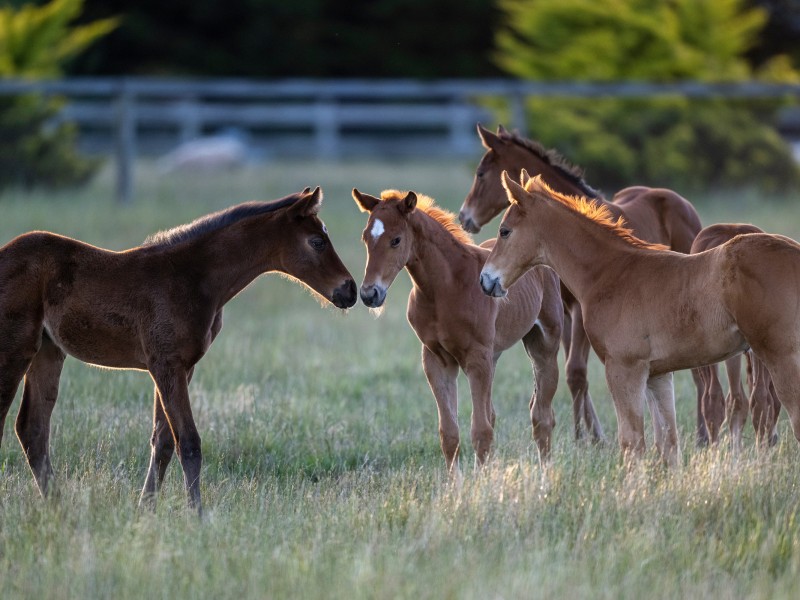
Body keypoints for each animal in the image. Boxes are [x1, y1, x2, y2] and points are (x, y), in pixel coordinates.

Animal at [0, 187, 357, 515]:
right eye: (317, 242)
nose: (350, 290)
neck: (192, 277)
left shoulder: (182, 367)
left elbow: (163, 441)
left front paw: (145, 509)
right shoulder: (166, 364)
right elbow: (188, 442)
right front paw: (197, 515)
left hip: (48, 352)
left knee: (32, 429)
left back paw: (57, 506)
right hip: (15, 349)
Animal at [352, 188, 563, 470]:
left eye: (396, 240)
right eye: (365, 238)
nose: (369, 294)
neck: (445, 288)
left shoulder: (476, 358)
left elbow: (481, 431)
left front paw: (481, 482)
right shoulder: (437, 359)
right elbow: (450, 434)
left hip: (543, 346)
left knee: (542, 417)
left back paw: (545, 474)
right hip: (493, 356)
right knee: (498, 413)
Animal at [458, 124, 707, 445]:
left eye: (480, 173)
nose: (464, 217)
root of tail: (679, 200)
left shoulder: (578, 309)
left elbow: (576, 372)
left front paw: (584, 437)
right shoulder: (565, 311)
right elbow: (574, 374)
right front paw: (590, 433)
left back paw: (703, 433)